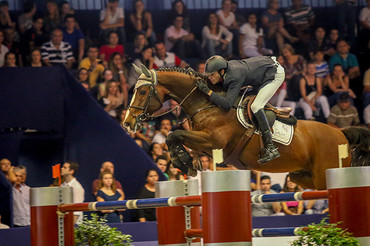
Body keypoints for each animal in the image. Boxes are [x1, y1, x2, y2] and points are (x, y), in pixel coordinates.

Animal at [123, 64, 370, 189]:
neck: (207, 104)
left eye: (142, 91)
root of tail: (340, 133)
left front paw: (184, 162)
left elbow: (174, 134)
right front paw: (185, 163)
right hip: (301, 174)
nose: (127, 123)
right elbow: (172, 136)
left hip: (325, 171)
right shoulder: (202, 144)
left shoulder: (212, 141)